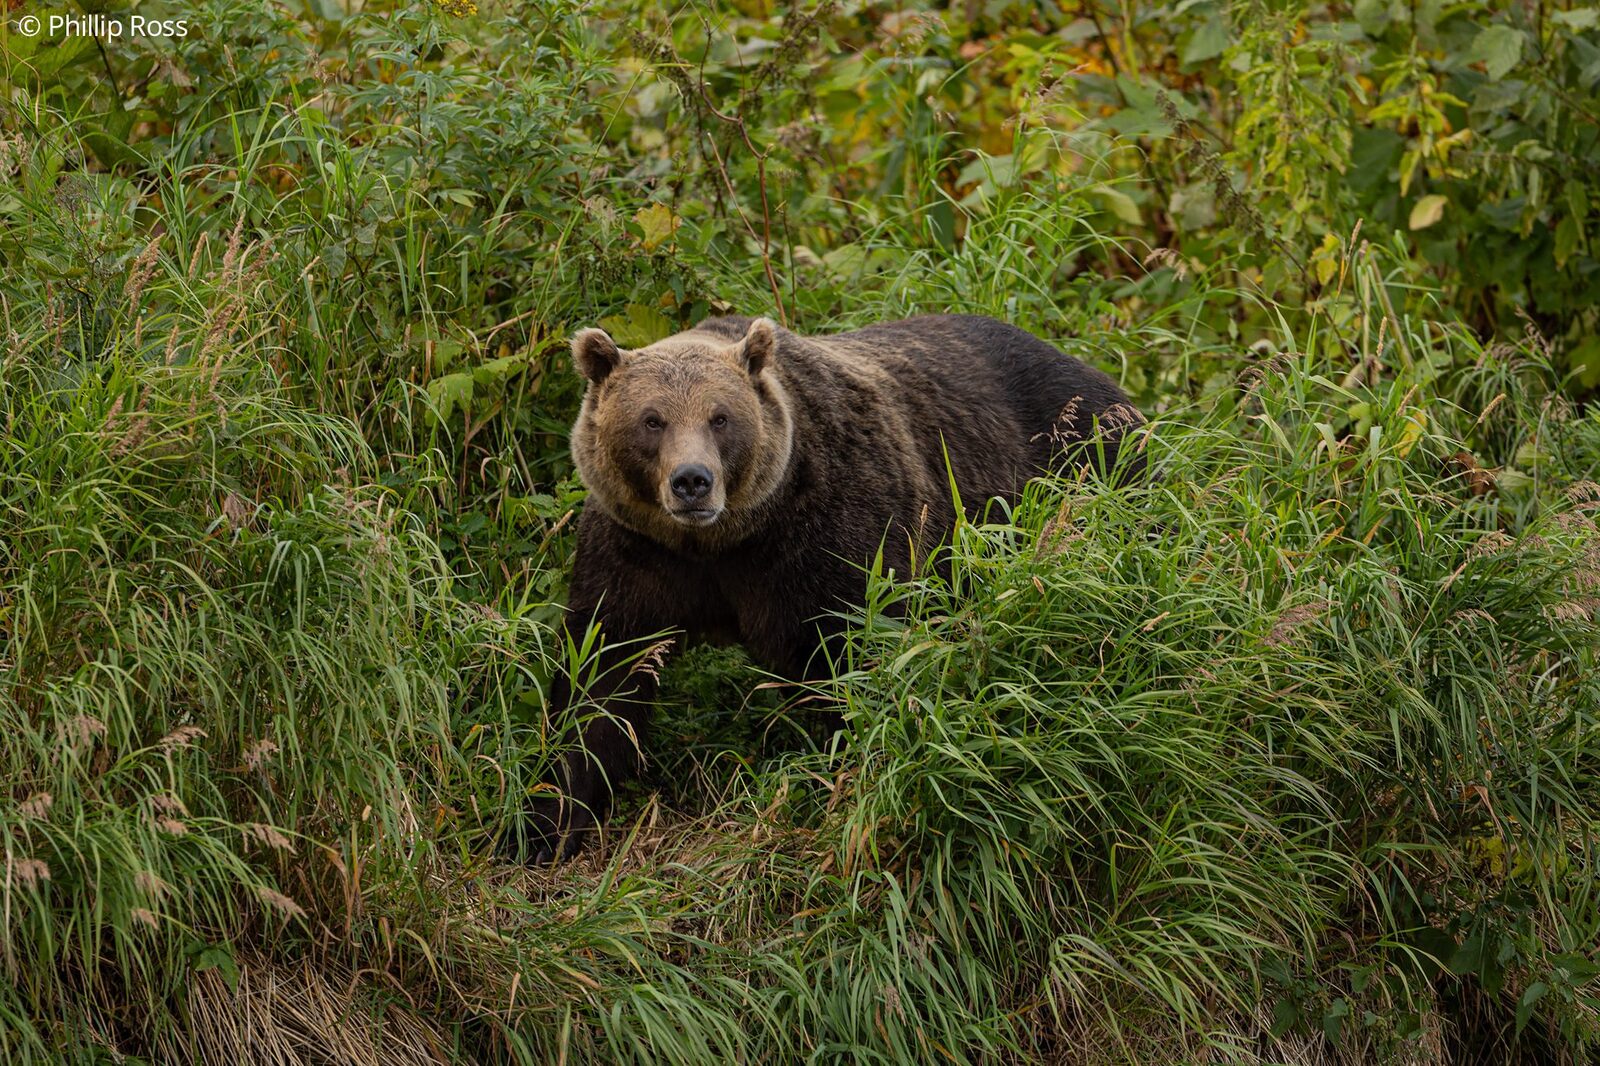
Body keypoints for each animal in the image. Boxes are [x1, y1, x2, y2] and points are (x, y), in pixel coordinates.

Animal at [526, 314, 1143, 861]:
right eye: (652, 420)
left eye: (720, 417)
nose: (692, 482)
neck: (721, 542)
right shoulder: (636, 553)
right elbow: (600, 676)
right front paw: (550, 825)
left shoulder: (827, 536)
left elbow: (854, 658)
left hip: (1086, 466)